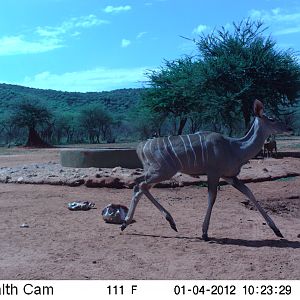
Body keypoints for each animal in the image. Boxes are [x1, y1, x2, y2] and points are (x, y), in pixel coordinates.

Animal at [121, 99, 290, 240]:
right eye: (272, 119)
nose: (289, 128)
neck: (235, 147)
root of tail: (141, 147)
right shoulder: (213, 173)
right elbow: (212, 197)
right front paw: (204, 232)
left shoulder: (229, 177)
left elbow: (249, 193)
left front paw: (277, 230)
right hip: (162, 172)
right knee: (140, 185)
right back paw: (163, 221)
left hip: (157, 172)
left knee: (139, 186)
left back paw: (130, 222)